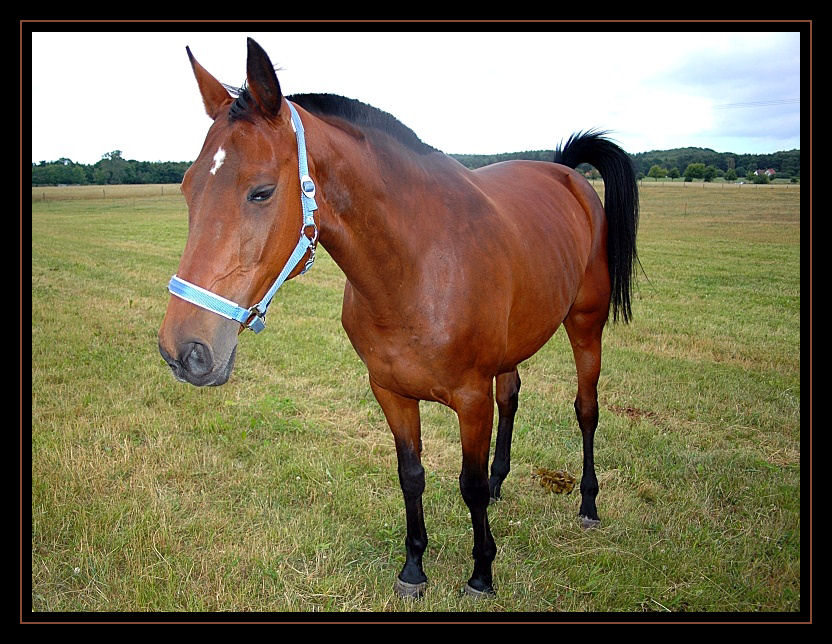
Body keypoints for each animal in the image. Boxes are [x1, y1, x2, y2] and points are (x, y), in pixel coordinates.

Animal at [158, 38, 639, 599]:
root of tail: (567, 175)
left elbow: (469, 485)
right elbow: (412, 475)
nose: (184, 350)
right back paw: (504, 482)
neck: (416, 267)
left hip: (585, 326)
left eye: (261, 191)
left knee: (586, 410)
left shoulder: (470, 400)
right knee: (512, 398)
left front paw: (482, 571)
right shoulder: (390, 391)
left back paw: (587, 502)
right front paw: (413, 568)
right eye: (187, 187)